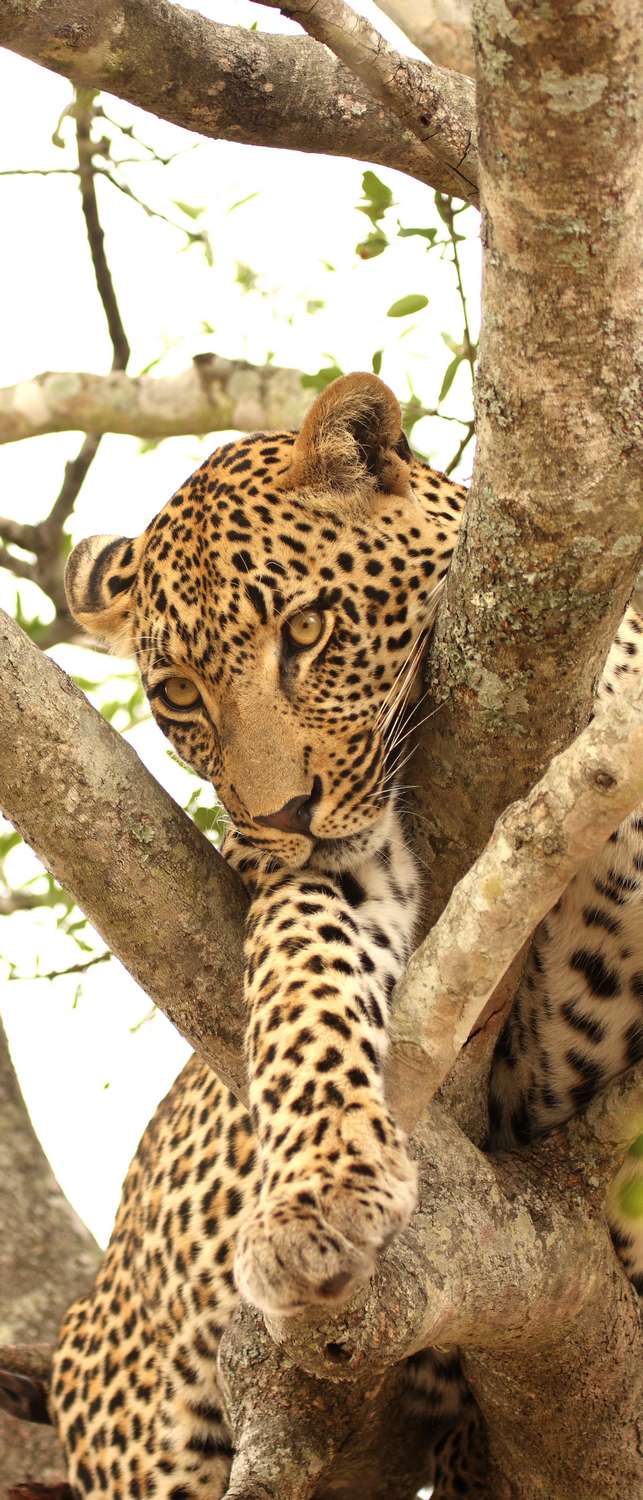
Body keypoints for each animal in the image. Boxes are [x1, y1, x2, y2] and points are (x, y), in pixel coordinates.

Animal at [32, 369, 638, 1494]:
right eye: (179, 695)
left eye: (308, 630)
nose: (277, 817)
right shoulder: (339, 873)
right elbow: (305, 989)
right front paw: (317, 1195)